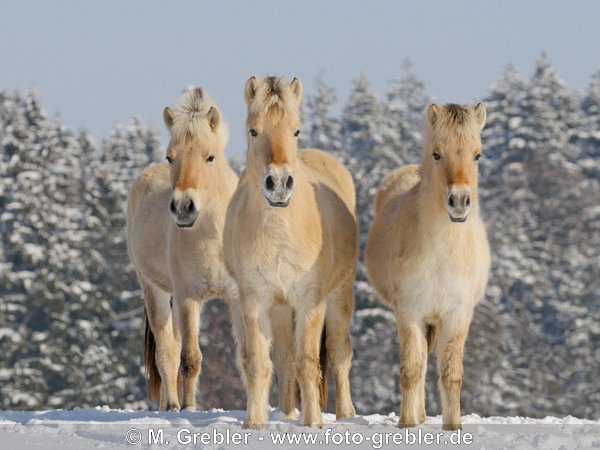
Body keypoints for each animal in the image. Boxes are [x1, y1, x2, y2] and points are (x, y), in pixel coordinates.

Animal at [224, 77, 356, 428]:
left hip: (340, 296)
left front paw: (313, 423)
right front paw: (254, 423)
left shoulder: (311, 300)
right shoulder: (254, 299)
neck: (280, 234)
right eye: (253, 131)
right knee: (284, 359)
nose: (280, 183)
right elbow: (260, 362)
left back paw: (346, 414)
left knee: (339, 353)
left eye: (296, 131)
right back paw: (285, 412)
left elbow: (308, 361)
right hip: (282, 308)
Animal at [364, 102, 490, 428]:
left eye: (477, 154)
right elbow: (411, 369)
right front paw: (407, 423)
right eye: (437, 154)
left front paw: (453, 426)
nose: (458, 202)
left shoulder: (457, 315)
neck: (441, 254)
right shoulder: (410, 313)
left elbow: (451, 374)